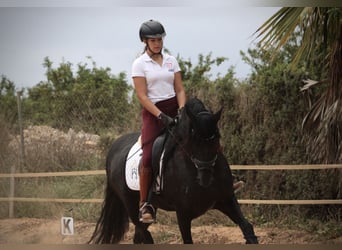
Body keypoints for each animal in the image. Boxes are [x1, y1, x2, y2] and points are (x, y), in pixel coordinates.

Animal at [89, 97, 258, 244]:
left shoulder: (226, 200)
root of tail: (113, 148)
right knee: (143, 233)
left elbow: (247, 228)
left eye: (217, 137)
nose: (205, 179)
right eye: (193, 139)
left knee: (140, 235)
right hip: (131, 205)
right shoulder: (183, 213)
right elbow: (187, 241)